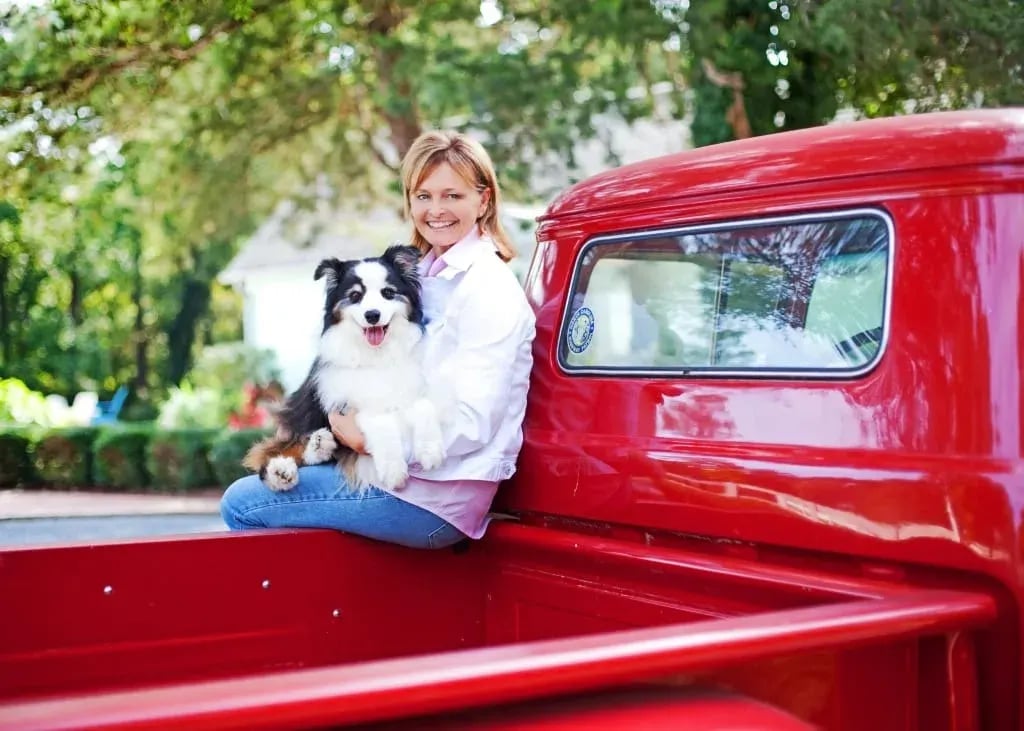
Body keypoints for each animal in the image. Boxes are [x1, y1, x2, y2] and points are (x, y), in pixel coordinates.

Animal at [243, 244, 448, 489]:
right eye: (355, 296)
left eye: (388, 293)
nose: (372, 315)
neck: (376, 356)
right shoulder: (350, 403)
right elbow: (381, 421)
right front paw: (393, 469)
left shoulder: (411, 388)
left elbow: (423, 406)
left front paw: (430, 451)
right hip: (306, 412)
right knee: (280, 448)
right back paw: (282, 469)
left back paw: (320, 446)